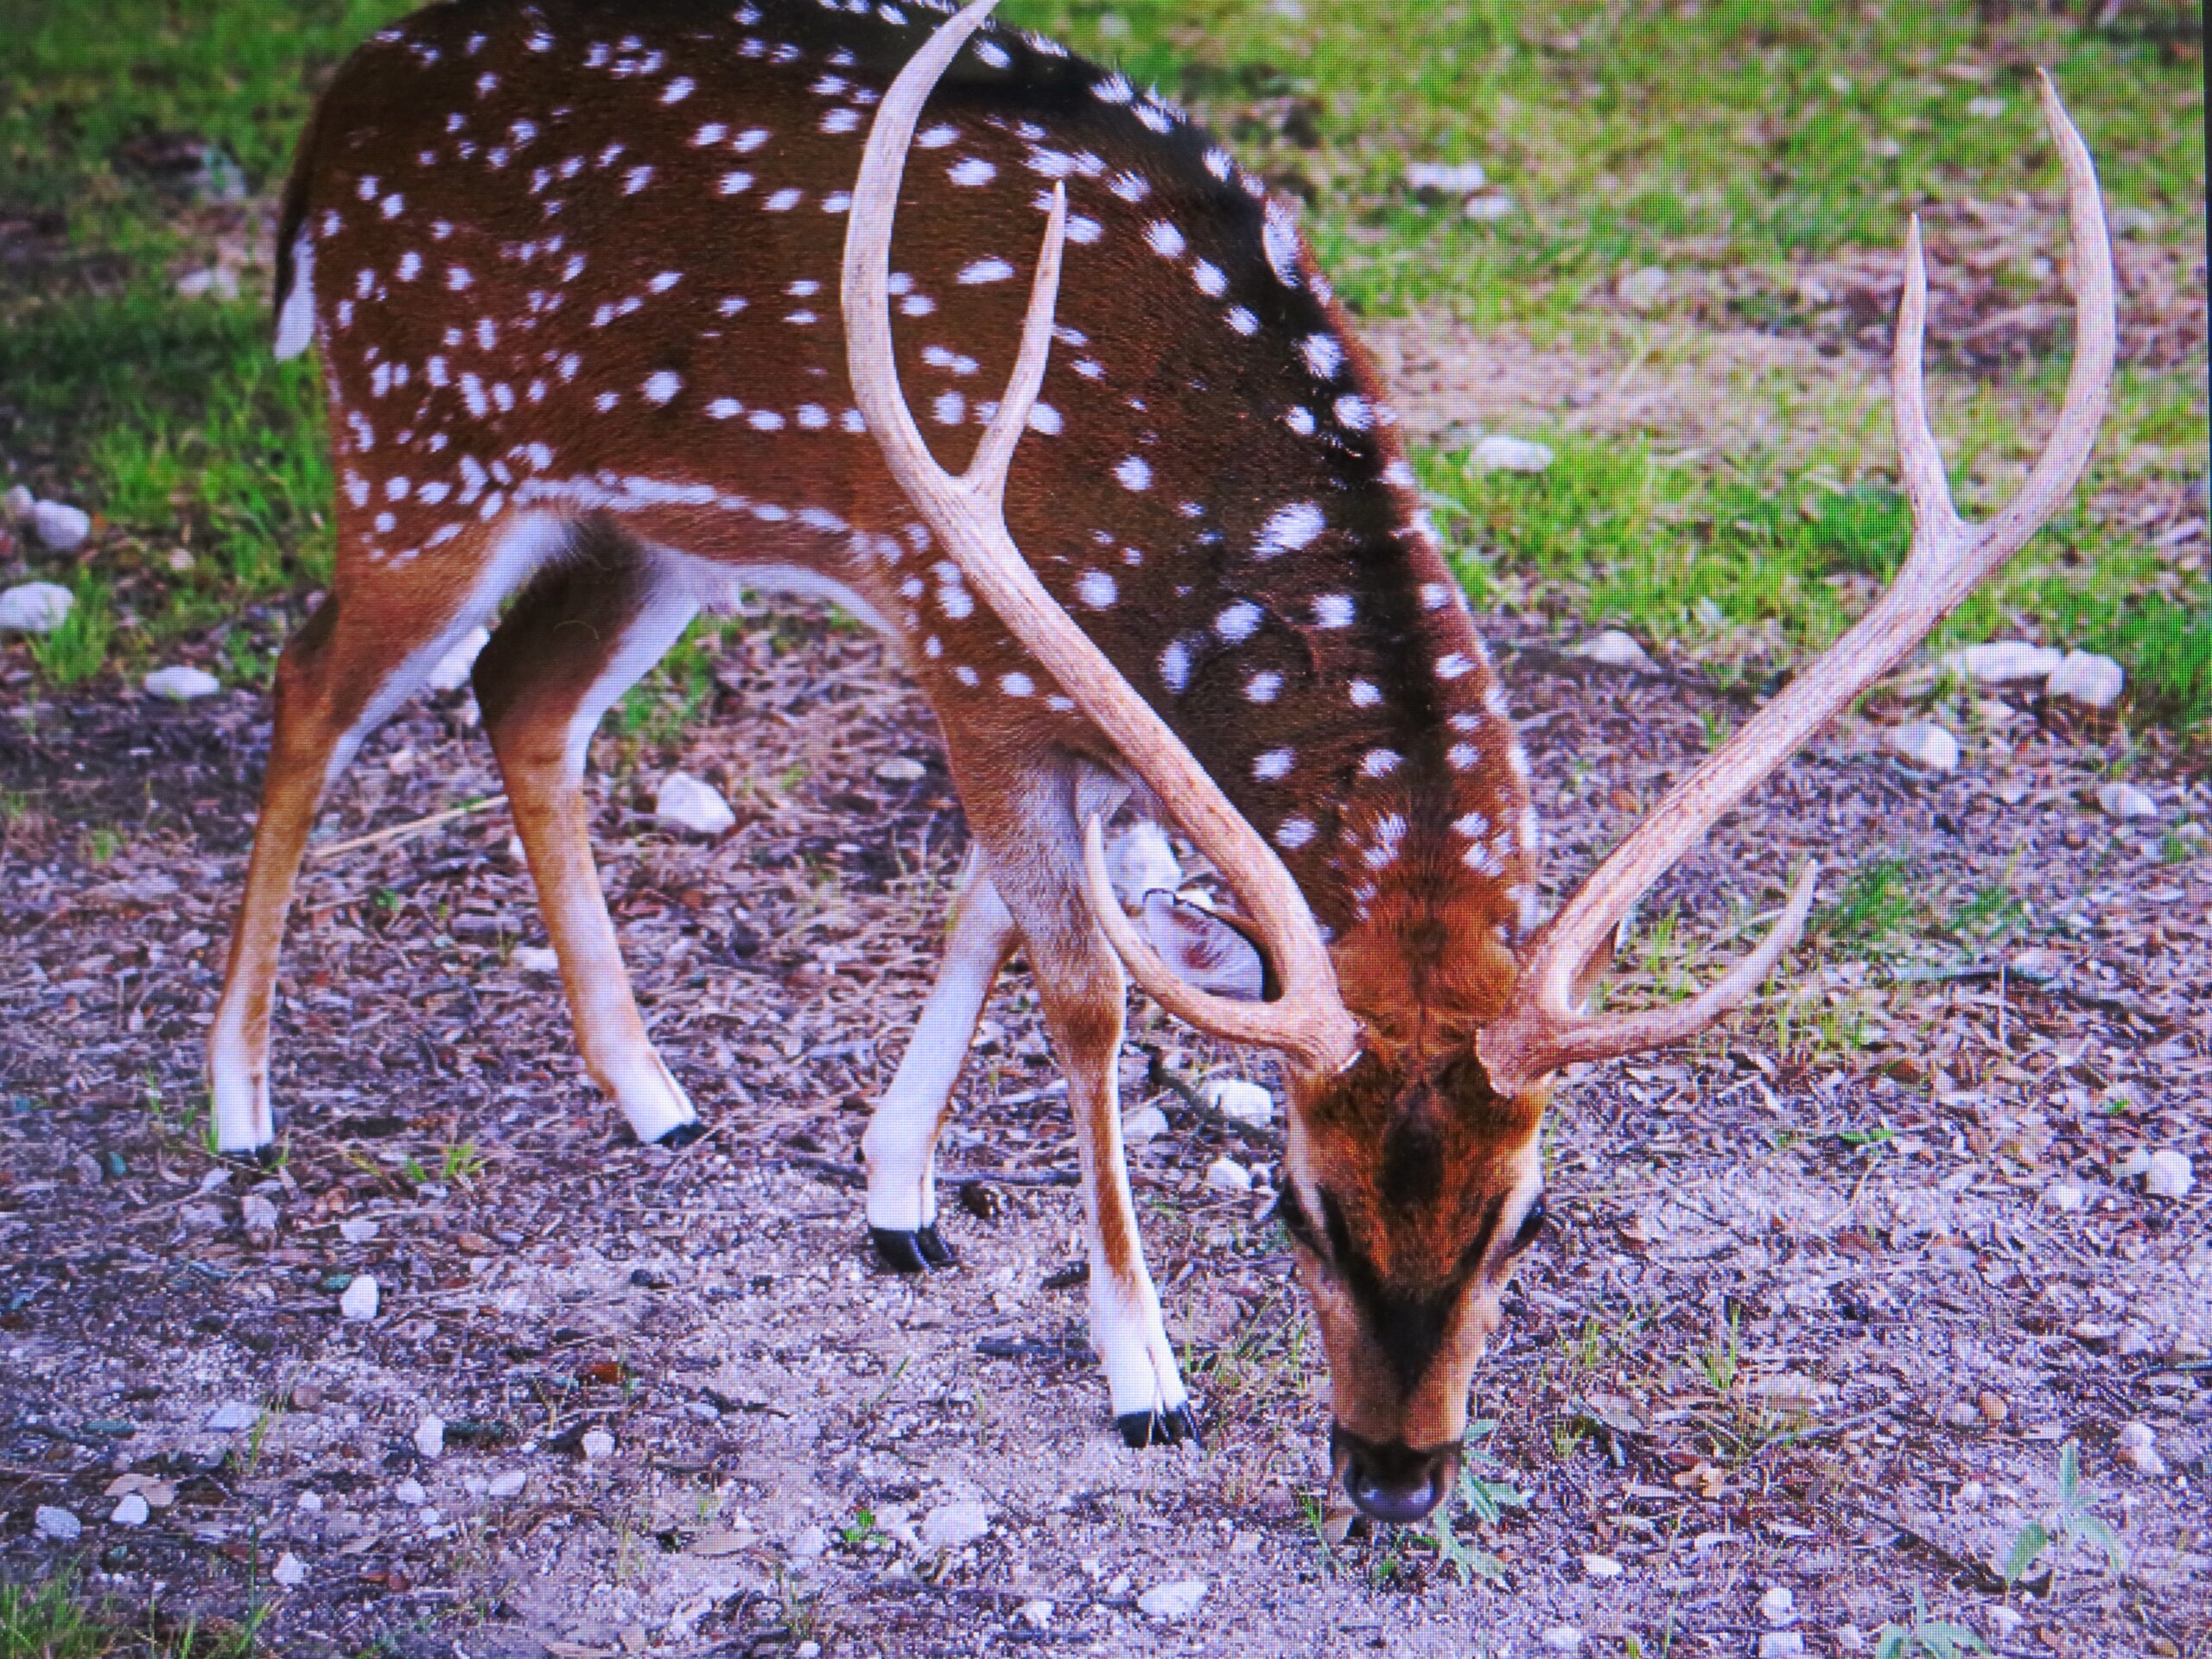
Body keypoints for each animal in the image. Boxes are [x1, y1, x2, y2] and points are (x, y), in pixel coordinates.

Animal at [215, 0, 2113, 1523]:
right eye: (1291, 1208)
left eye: (1526, 1222)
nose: (1396, 1478)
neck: (1175, 544)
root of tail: (337, 106)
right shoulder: (965, 631)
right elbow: (1082, 993)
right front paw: (1140, 1373)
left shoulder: (1082, 714)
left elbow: (987, 923)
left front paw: (895, 1197)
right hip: (423, 445)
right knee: (309, 682)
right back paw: (241, 1109)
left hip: (640, 522)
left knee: (525, 700)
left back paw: (652, 1091)